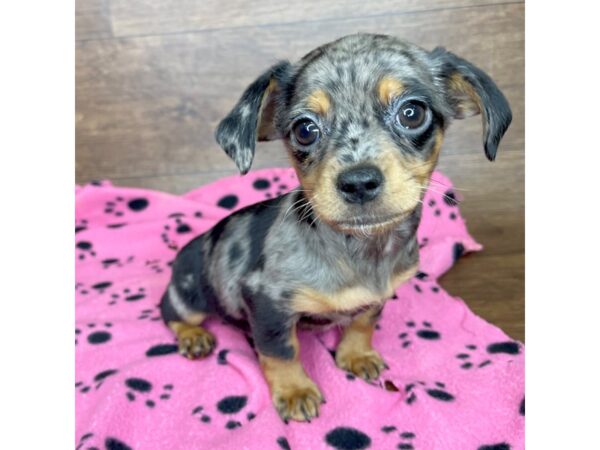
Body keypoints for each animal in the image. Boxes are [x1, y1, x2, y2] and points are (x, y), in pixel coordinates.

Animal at [161, 32, 510, 422]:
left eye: (412, 113)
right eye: (304, 130)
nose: (358, 183)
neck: (362, 250)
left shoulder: (376, 297)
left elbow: (363, 322)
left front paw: (356, 355)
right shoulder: (268, 304)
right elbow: (281, 351)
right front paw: (295, 391)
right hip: (191, 295)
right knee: (169, 311)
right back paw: (193, 336)